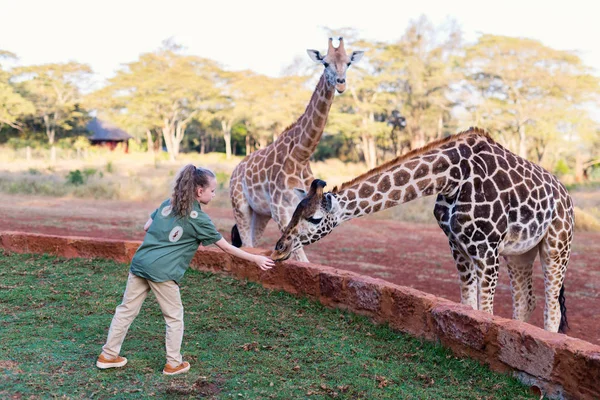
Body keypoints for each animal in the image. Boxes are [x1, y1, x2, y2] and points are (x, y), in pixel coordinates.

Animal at [227, 37, 364, 262]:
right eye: (325, 63)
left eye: (349, 63)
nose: (341, 83)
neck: (301, 155)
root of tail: (236, 169)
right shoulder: (282, 211)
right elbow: (299, 257)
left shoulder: (302, 209)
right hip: (240, 205)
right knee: (245, 243)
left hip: (261, 213)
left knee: (251, 243)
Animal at [270, 128, 572, 334]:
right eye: (294, 210)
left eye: (315, 218)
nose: (279, 248)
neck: (451, 177)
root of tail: (567, 196)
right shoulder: (458, 245)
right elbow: (469, 305)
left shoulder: (487, 249)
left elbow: (486, 312)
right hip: (519, 253)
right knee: (526, 301)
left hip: (557, 246)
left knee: (552, 309)